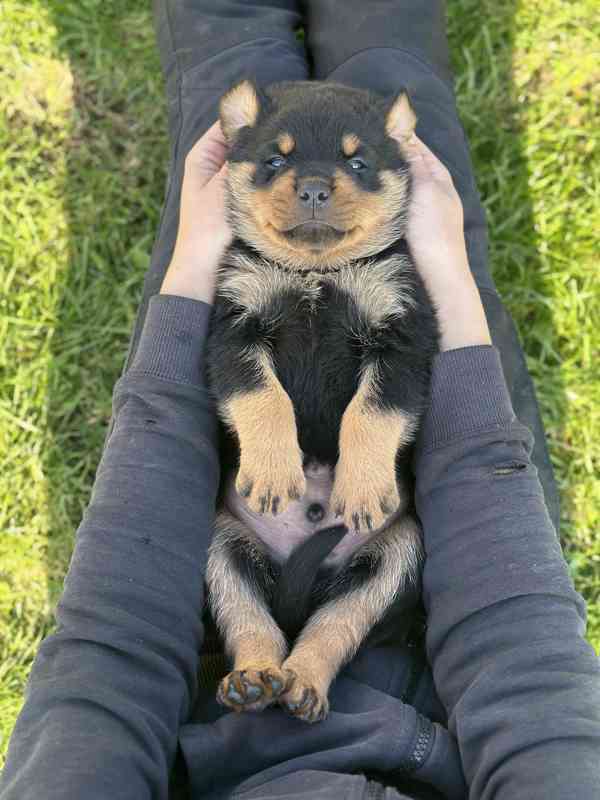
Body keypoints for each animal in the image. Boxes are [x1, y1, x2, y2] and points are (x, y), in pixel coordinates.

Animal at [204, 81, 438, 724]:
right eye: (273, 160)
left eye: (358, 163)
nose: (312, 187)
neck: (317, 271)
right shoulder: (233, 331)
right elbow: (263, 396)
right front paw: (273, 472)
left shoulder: (404, 339)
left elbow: (370, 413)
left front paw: (358, 488)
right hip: (221, 548)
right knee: (251, 617)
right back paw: (255, 679)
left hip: (394, 558)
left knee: (333, 624)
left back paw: (303, 682)